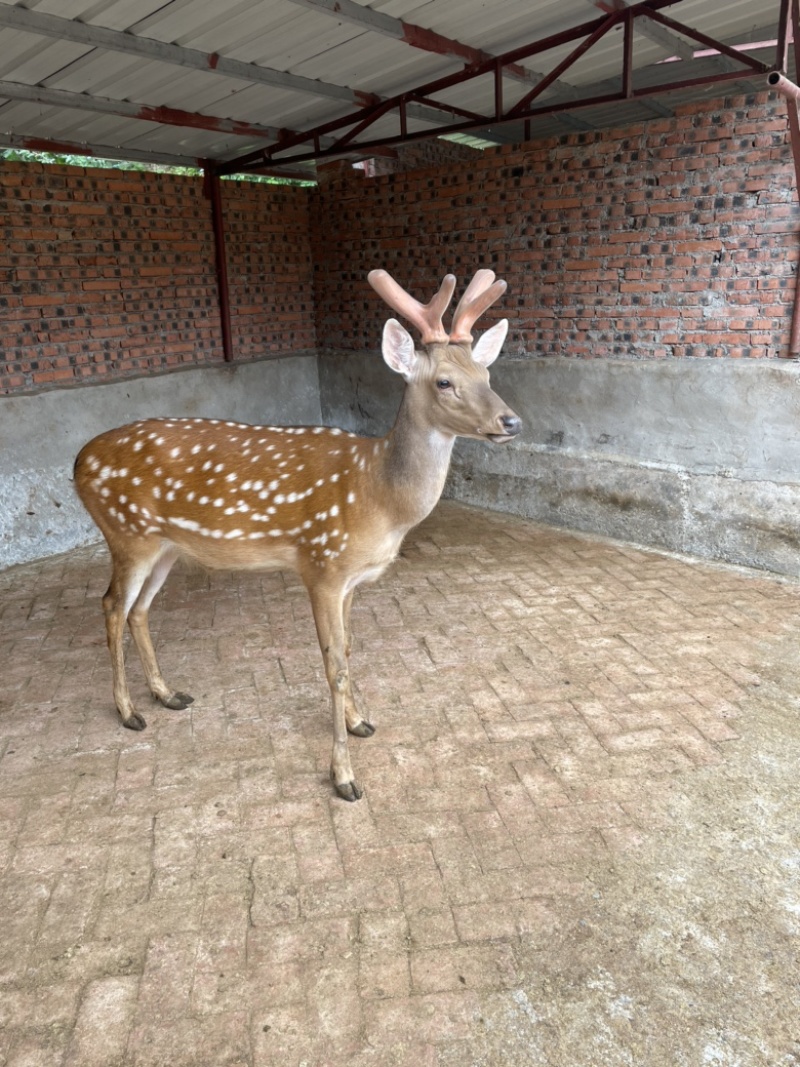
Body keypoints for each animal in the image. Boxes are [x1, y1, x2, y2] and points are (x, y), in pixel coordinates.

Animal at [73, 268, 521, 801]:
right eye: (445, 381)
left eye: (487, 376)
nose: (511, 421)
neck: (378, 495)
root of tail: (78, 462)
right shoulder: (322, 565)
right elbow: (334, 668)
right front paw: (344, 776)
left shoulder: (352, 580)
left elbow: (347, 650)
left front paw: (359, 722)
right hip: (126, 533)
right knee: (111, 606)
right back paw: (128, 712)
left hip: (165, 546)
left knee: (139, 610)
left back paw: (167, 694)